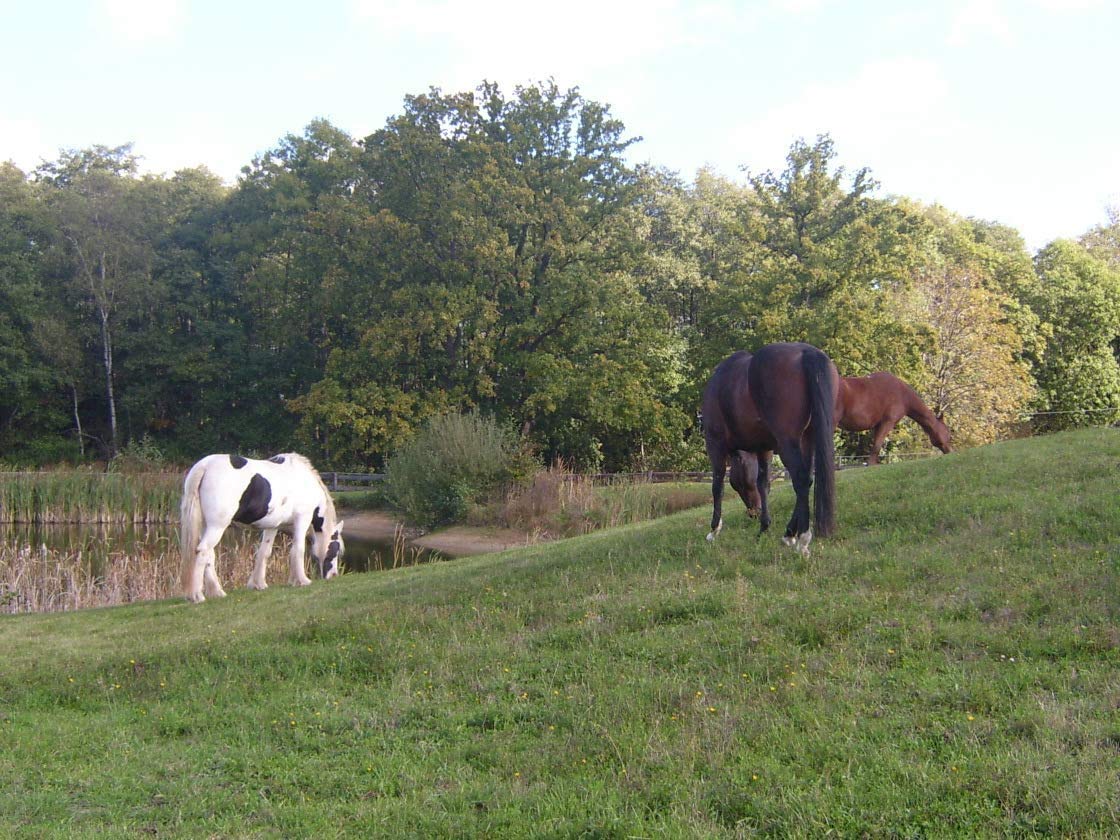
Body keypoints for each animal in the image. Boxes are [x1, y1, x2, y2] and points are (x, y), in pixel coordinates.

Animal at [179, 453, 345, 603]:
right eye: (336, 549)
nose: (333, 576)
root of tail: (205, 465)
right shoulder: (302, 519)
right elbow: (298, 549)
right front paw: (302, 580)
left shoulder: (273, 526)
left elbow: (264, 552)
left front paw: (258, 584)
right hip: (217, 526)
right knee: (203, 551)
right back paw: (197, 595)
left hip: (206, 526)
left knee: (209, 555)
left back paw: (217, 592)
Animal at [702, 342, 839, 554]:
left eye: (738, 484)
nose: (754, 512)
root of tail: (806, 352)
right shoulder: (764, 449)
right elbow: (763, 484)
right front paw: (764, 528)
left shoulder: (715, 444)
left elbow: (717, 486)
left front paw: (714, 530)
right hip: (806, 439)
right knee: (807, 479)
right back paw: (790, 533)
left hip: (787, 443)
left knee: (800, 480)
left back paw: (802, 539)